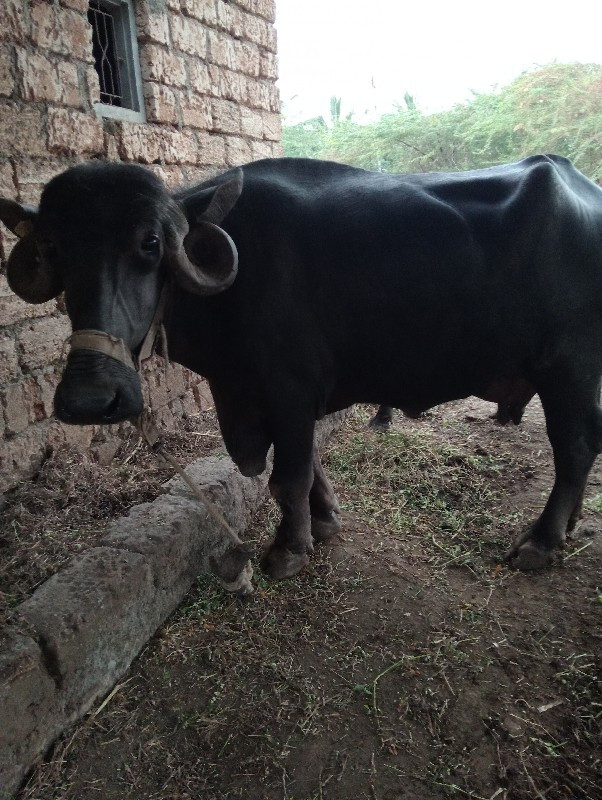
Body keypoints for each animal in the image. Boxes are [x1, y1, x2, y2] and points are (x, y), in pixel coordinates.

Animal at [1, 156, 600, 580]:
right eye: (54, 248)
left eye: (149, 242)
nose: (90, 398)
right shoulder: (253, 394)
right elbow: (305, 465)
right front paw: (326, 521)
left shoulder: (287, 390)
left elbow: (287, 475)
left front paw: (289, 549)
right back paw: (568, 524)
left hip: (569, 369)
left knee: (575, 445)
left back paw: (542, 540)